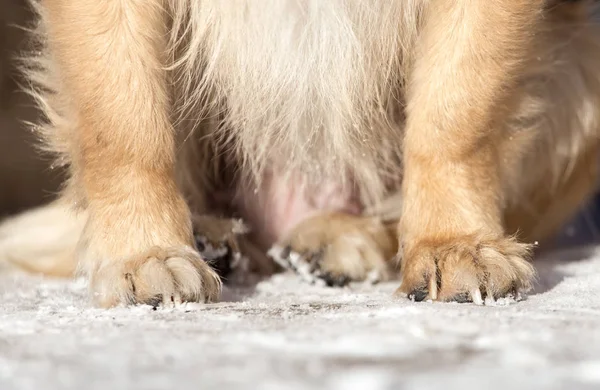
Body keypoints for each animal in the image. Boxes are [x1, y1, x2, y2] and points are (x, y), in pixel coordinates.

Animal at [1, 0, 600, 308]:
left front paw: (454, 244)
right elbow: (126, 125)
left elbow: (455, 119)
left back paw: (341, 239)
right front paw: (144, 254)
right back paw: (210, 238)